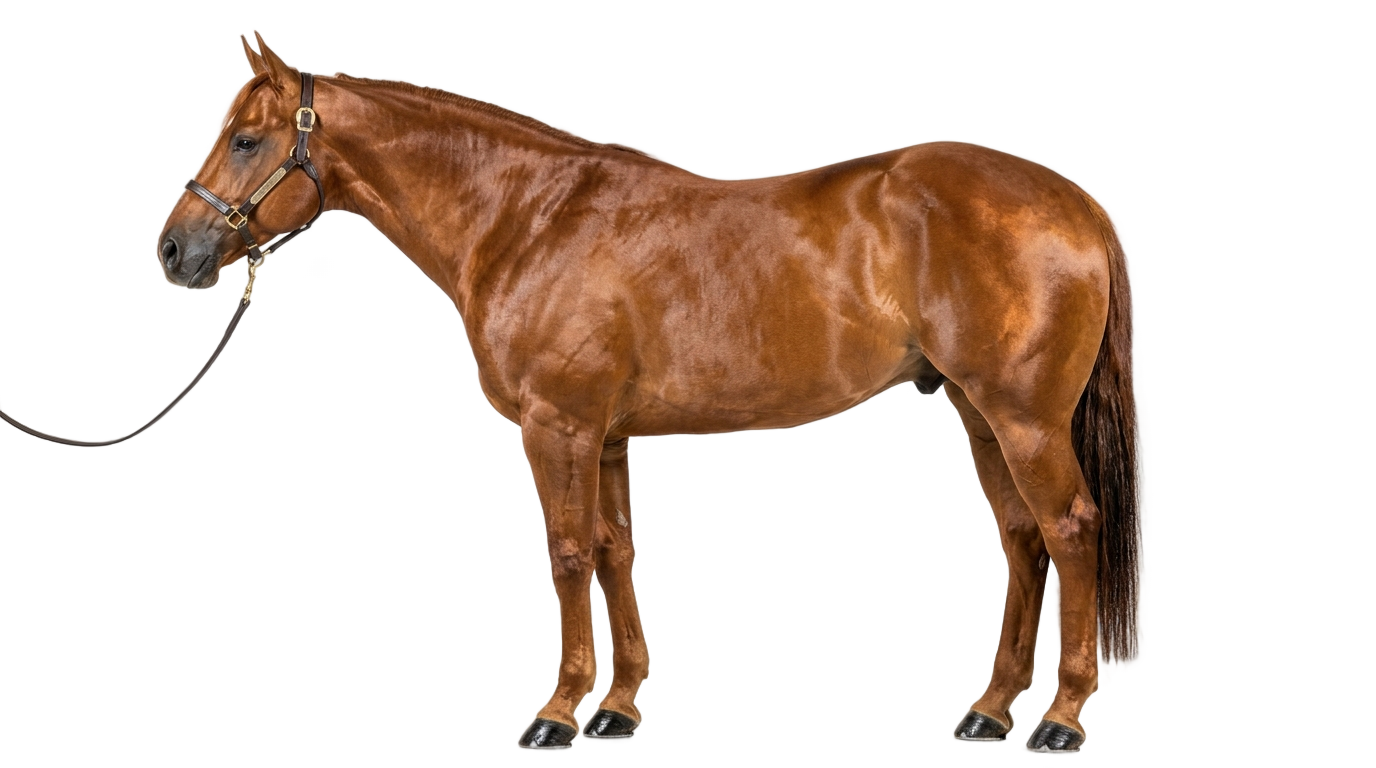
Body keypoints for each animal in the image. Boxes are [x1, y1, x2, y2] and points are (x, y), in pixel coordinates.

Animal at [158, 34, 1137, 753]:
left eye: (246, 139)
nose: (176, 248)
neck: (527, 219)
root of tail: (1075, 202)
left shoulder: (556, 428)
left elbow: (566, 554)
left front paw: (556, 712)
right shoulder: (608, 434)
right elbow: (615, 549)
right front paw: (618, 705)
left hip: (1024, 420)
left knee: (1070, 530)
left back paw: (1060, 718)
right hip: (982, 417)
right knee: (1021, 541)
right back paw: (990, 711)